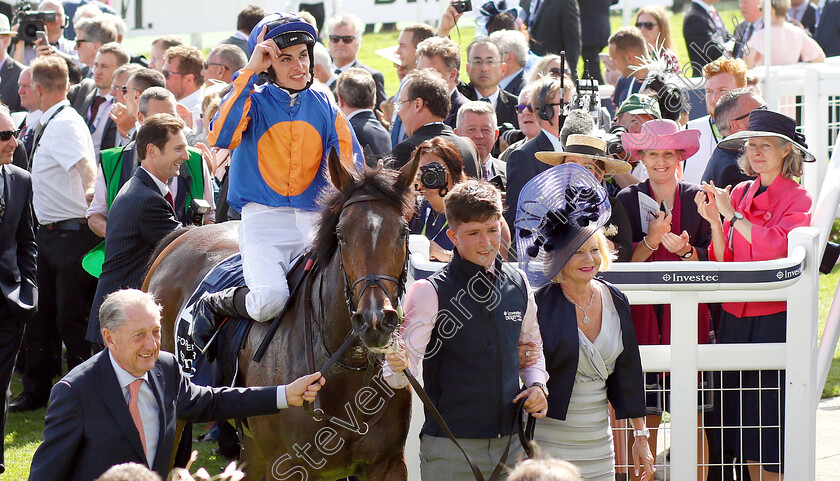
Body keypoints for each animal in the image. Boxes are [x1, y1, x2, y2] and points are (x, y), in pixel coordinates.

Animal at [147, 151, 420, 480]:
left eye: (403, 232)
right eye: (341, 235)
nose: (375, 320)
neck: (345, 369)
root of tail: (183, 236)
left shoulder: (388, 464)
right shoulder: (288, 465)